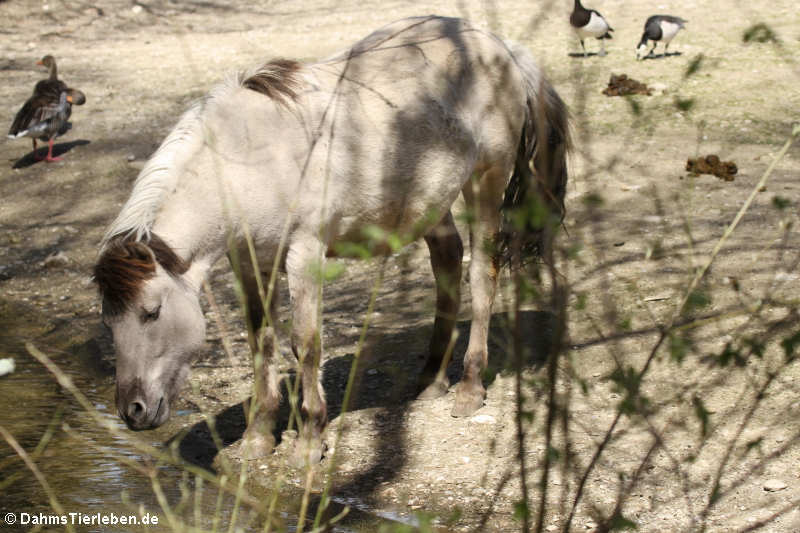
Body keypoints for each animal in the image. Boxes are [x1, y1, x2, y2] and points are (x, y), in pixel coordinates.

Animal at [92, 16, 568, 464]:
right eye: (109, 322)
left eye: (152, 312)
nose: (132, 411)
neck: (247, 157)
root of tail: (502, 47)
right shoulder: (250, 260)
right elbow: (262, 340)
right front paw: (258, 436)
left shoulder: (304, 254)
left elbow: (305, 343)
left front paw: (309, 439)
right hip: (430, 201)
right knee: (448, 262)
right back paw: (432, 379)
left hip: (484, 183)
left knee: (482, 277)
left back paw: (469, 387)